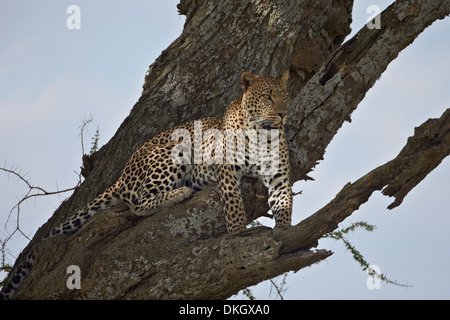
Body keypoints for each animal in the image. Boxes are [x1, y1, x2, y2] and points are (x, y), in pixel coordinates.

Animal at [0, 70, 292, 300]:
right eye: (267, 96)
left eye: (285, 97)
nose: (283, 114)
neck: (263, 134)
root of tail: (121, 175)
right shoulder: (227, 170)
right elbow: (233, 205)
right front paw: (238, 233)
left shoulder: (280, 177)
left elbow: (285, 204)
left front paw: (286, 232)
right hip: (175, 149)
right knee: (138, 204)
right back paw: (180, 192)